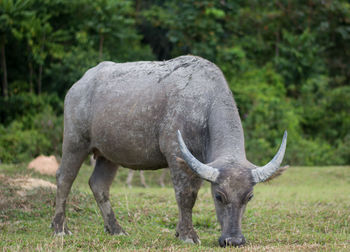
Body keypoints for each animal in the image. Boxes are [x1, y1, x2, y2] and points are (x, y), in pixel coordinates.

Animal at [52, 55, 288, 246]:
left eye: (249, 197)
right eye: (219, 196)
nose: (234, 240)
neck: (203, 106)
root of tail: (78, 86)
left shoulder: (197, 162)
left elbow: (192, 194)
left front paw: (180, 230)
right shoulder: (176, 155)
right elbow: (186, 195)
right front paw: (188, 235)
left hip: (108, 155)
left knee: (99, 185)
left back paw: (116, 229)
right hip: (75, 141)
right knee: (64, 178)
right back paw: (60, 228)